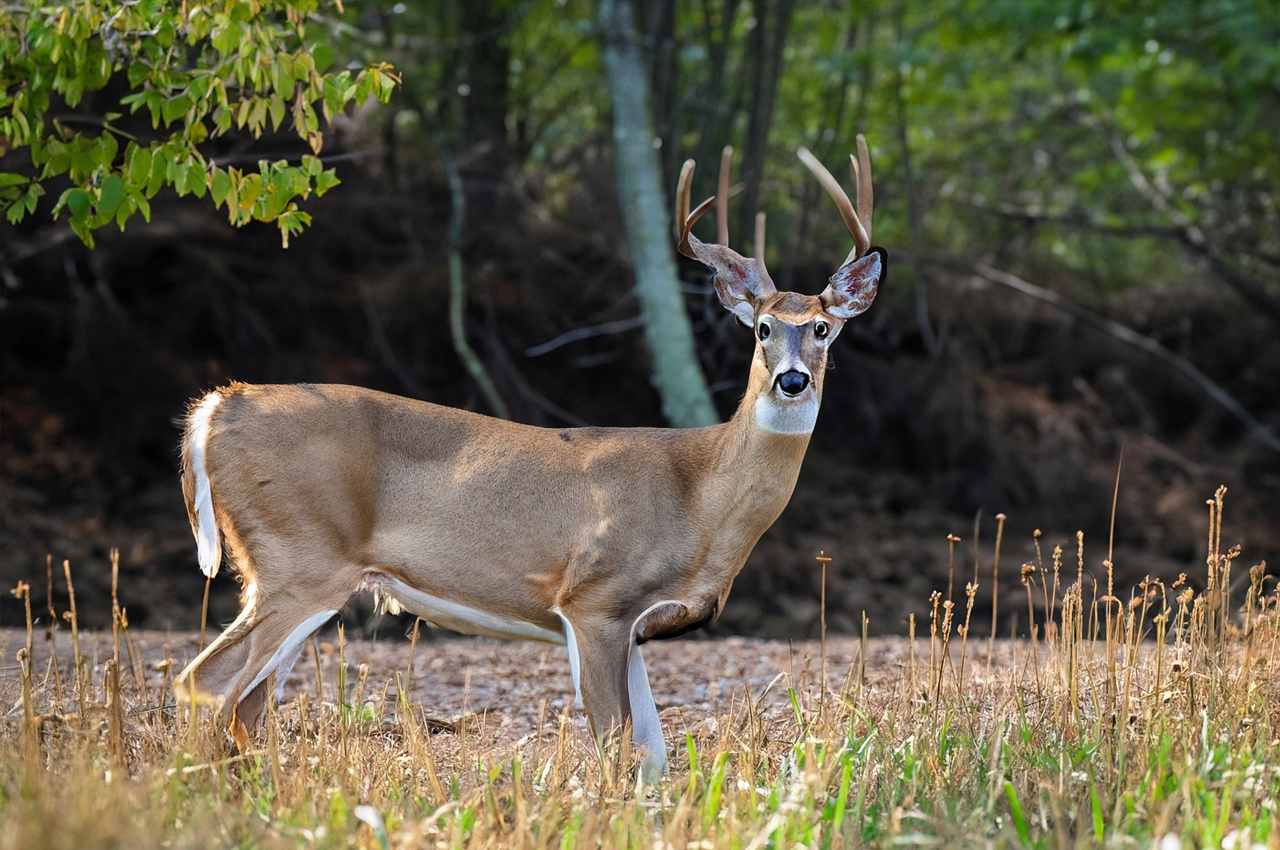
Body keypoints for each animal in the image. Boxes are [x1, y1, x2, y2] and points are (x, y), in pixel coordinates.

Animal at [175, 133, 885, 778]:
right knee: (207, 681)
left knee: (247, 703)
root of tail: (216, 408)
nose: (791, 380)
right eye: (763, 328)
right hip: (300, 557)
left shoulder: (633, 625)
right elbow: (615, 748)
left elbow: (654, 758)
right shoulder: (594, 597)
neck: (700, 497)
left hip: (293, 572)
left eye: (822, 329)